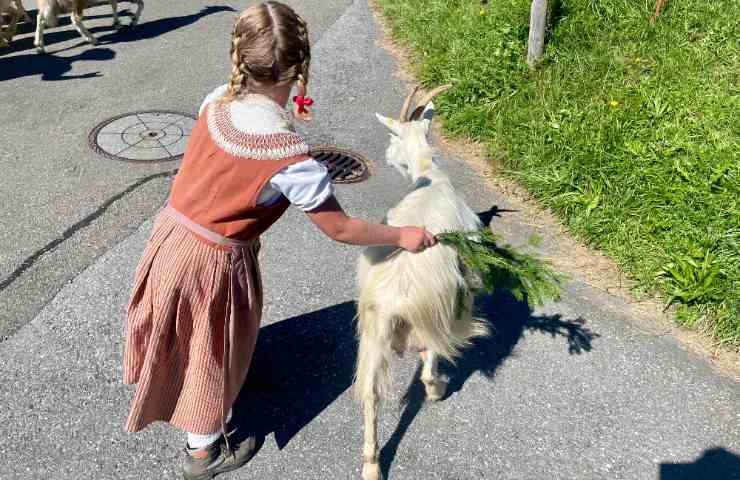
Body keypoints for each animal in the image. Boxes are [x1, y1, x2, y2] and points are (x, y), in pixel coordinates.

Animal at [356, 87, 488, 480]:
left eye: (391, 138)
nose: (387, 157)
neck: (431, 177)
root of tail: (394, 299)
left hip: (373, 328)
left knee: (370, 390)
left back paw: (371, 463)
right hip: (434, 309)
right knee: (432, 353)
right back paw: (437, 388)